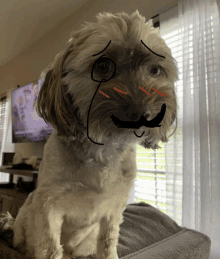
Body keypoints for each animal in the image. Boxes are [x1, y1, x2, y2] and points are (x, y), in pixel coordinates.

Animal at [10, 9, 179, 259]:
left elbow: (108, 240)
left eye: (156, 70)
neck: (102, 145)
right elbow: (50, 246)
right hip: (28, 209)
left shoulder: (114, 207)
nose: (145, 114)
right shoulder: (47, 204)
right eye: (103, 65)